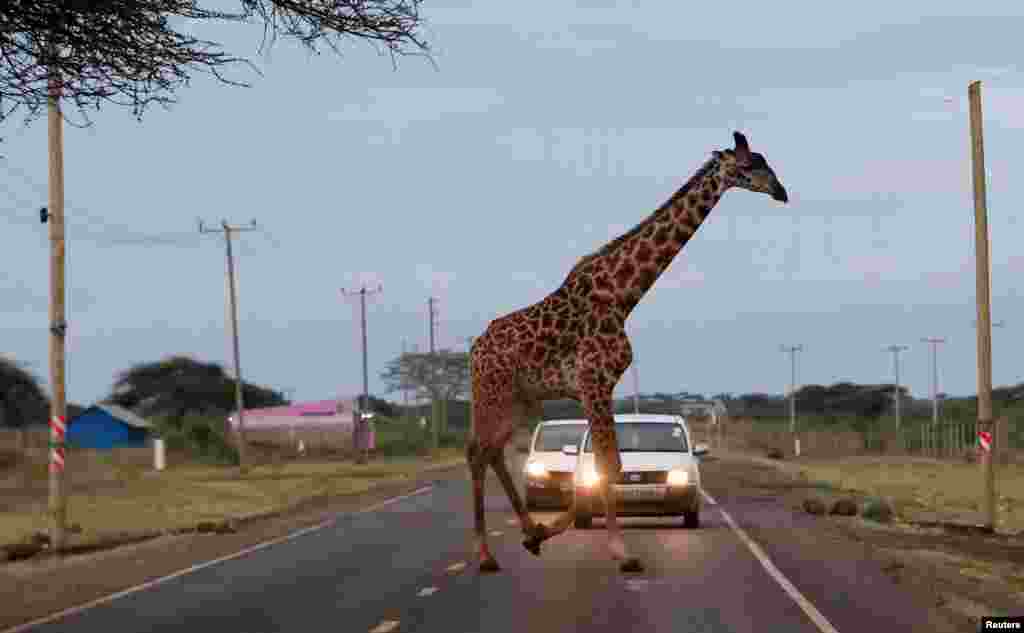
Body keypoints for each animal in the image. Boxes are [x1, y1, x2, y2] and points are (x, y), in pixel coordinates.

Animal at [466, 131, 788, 573]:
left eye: (765, 162)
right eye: (749, 165)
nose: (781, 192)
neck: (622, 295)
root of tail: (475, 350)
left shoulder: (601, 387)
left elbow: (611, 465)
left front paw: (551, 536)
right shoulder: (593, 382)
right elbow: (607, 466)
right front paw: (623, 552)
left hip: (522, 400)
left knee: (492, 451)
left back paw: (530, 532)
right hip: (492, 394)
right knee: (476, 452)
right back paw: (485, 554)